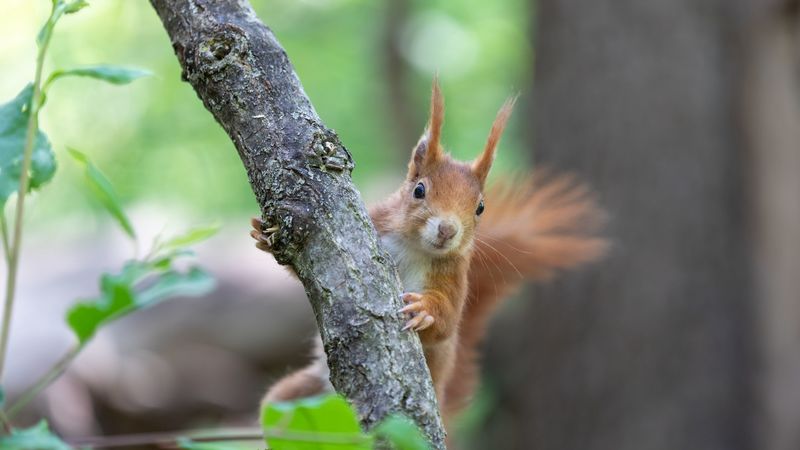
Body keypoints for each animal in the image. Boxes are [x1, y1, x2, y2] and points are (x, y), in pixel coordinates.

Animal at [250, 79, 607, 421]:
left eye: (480, 208)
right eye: (419, 190)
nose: (448, 230)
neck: (414, 248)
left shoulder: (454, 274)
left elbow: (448, 319)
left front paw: (425, 309)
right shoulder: (374, 225)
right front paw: (266, 237)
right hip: (295, 397)